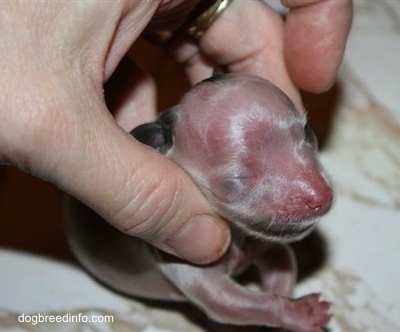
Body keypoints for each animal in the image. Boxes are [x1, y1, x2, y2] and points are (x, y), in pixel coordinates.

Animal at [67, 74, 332, 330]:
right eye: (238, 178)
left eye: (307, 131)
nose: (321, 196)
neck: (237, 237)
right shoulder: (179, 257)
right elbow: (223, 301)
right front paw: (297, 313)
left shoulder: (264, 242)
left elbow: (283, 262)